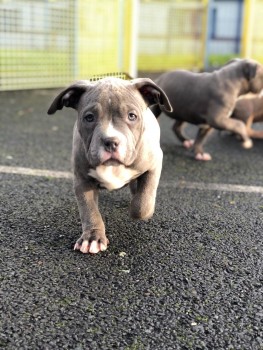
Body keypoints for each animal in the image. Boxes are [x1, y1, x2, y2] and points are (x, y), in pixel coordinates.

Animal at [47, 77, 172, 254]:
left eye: (132, 116)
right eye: (89, 117)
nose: (111, 142)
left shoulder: (154, 163)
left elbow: (142, 204)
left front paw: (138, 208)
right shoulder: (82, 180)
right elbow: (89, 210)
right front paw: (92, 238)